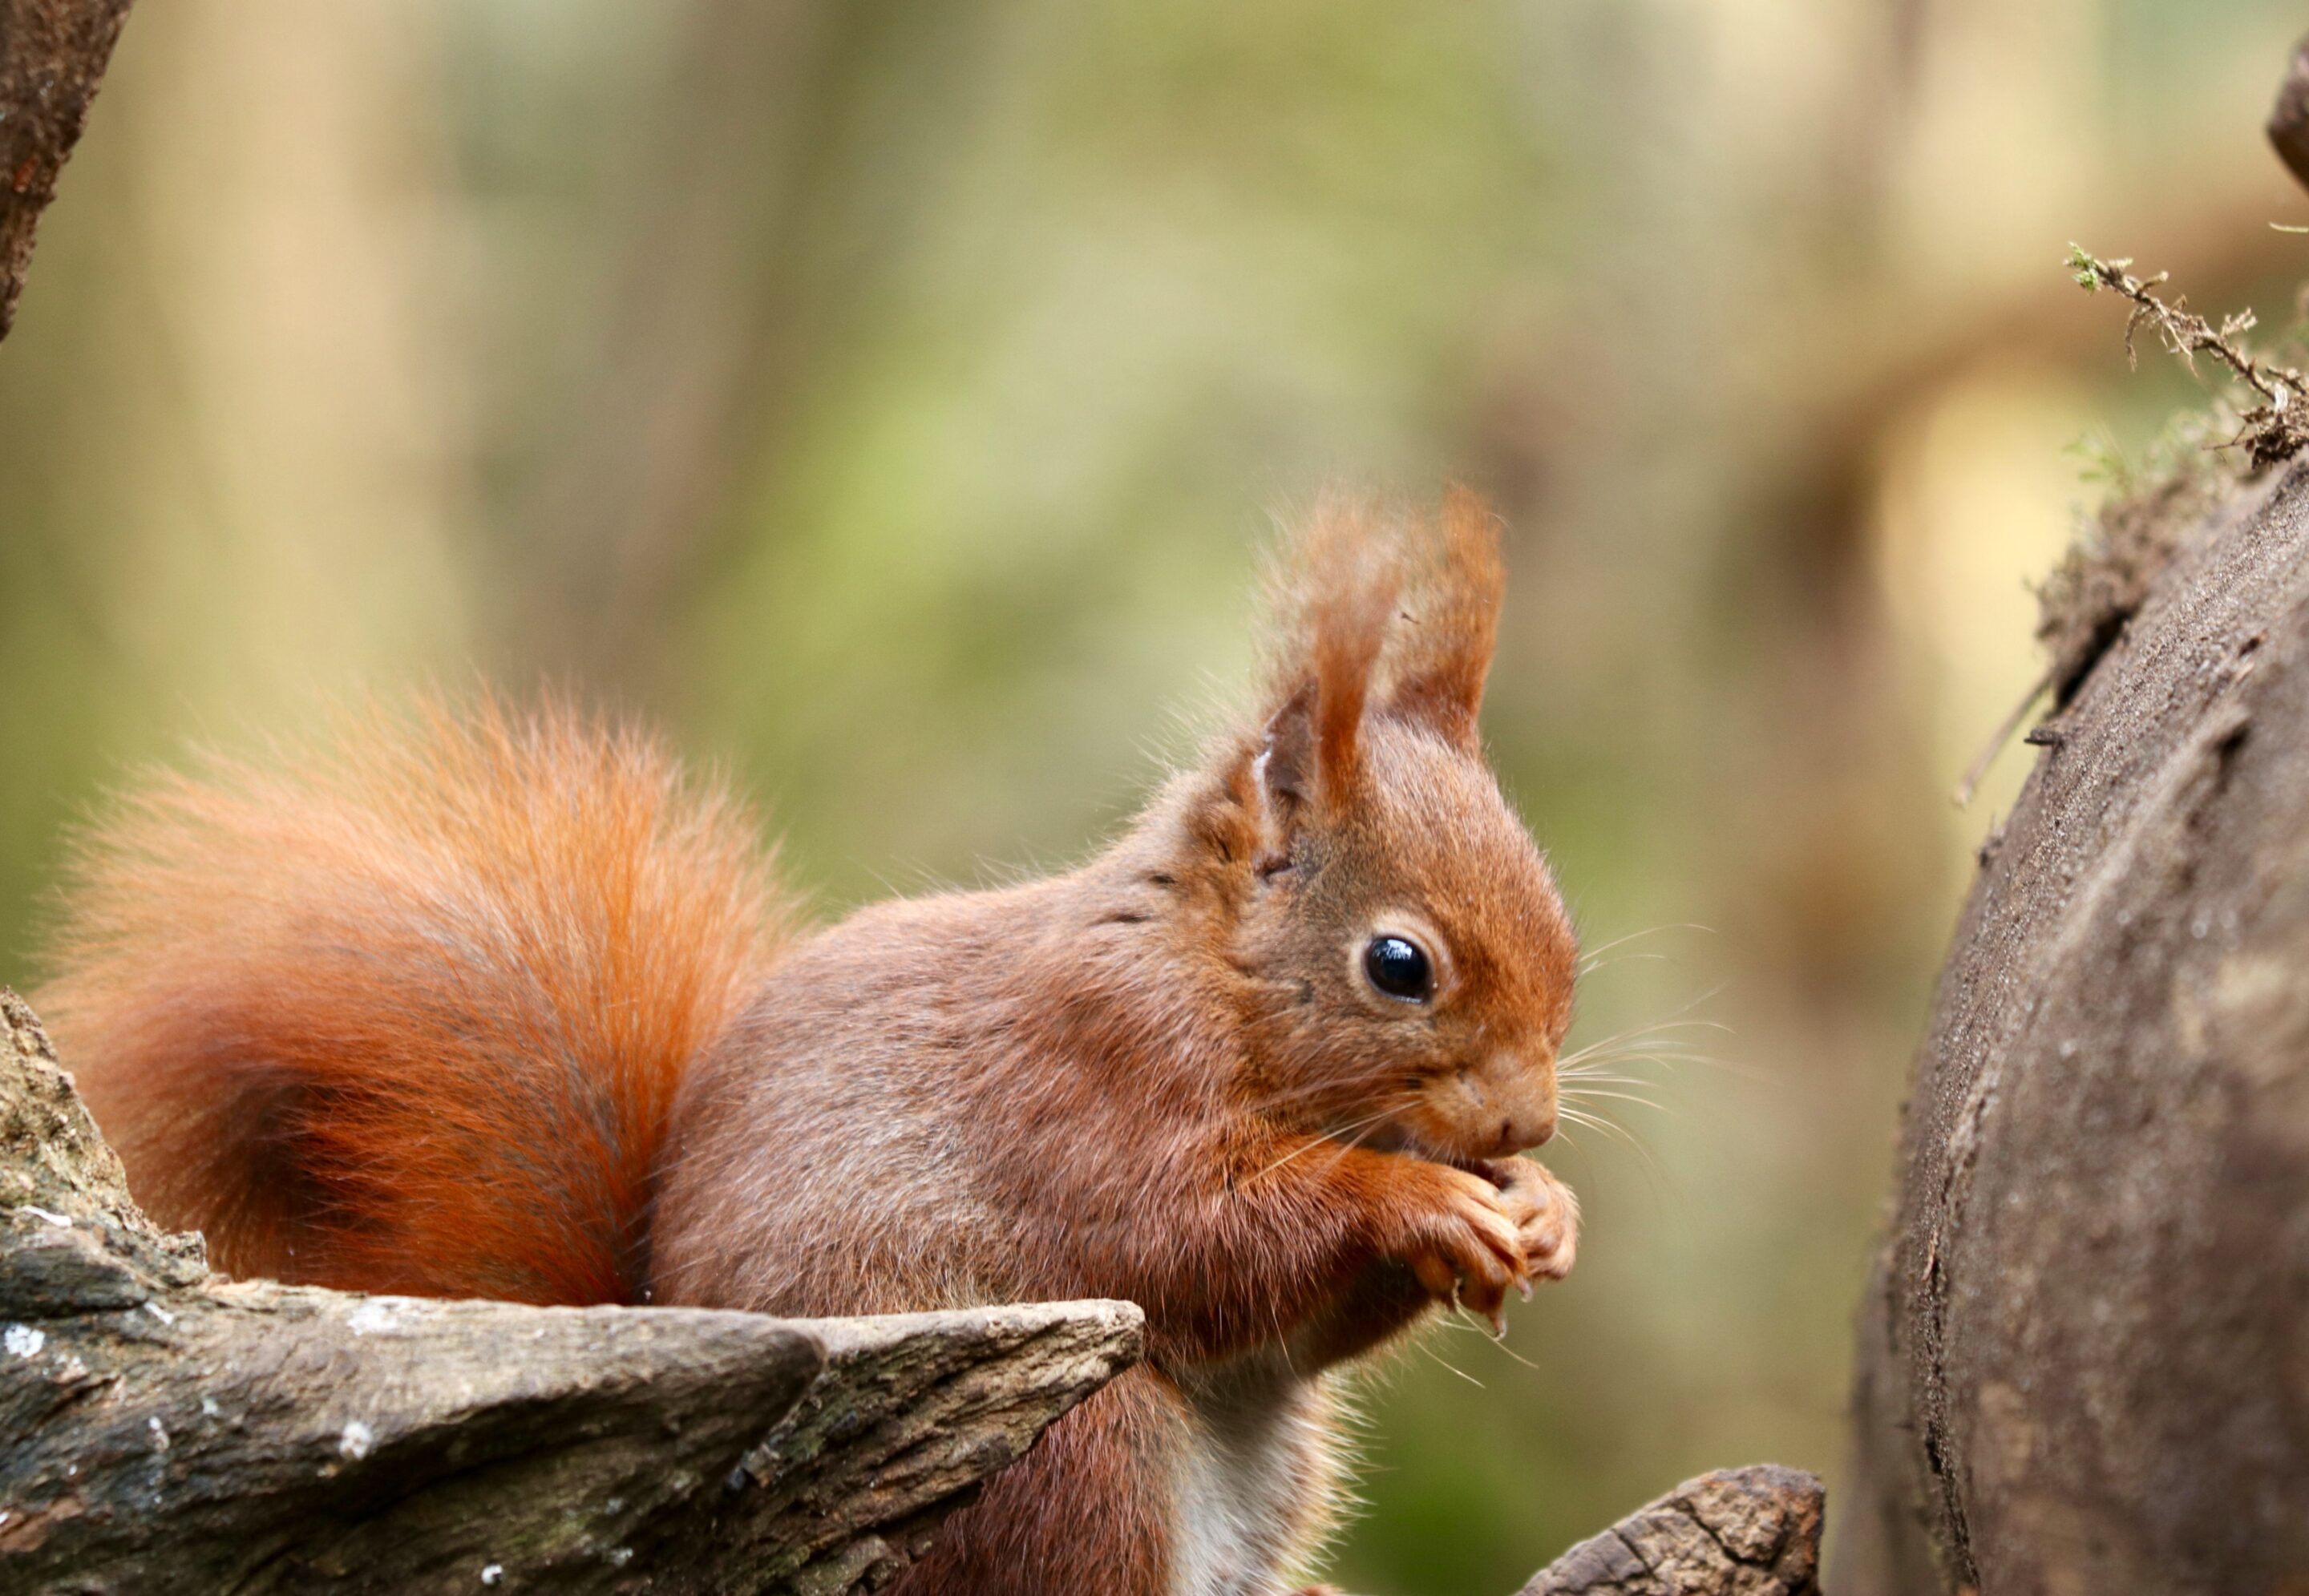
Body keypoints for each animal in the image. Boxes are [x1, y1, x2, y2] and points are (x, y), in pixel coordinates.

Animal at [34, 488, 1580, 1596]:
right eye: (1399, 964)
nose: (1526, 1122)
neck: (1205, 975)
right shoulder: (1083, 1087)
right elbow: (1202, 1236)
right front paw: (1424, 1199)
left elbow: (1305, 1326)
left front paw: (1542, 1210)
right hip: (1071, 1446)